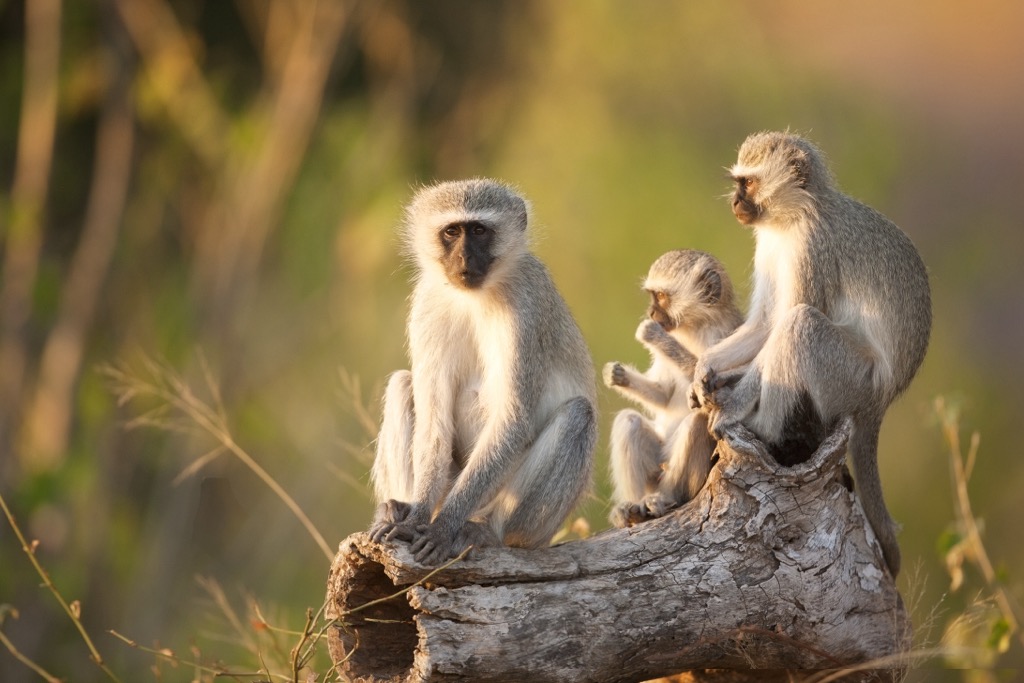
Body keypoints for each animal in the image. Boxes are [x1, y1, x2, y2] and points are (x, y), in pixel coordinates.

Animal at [367, 178, 598, 566]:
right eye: (451, 232)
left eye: (478, 231)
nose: (463, 258)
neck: (473, 297)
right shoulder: (426, 304)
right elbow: (434, 423)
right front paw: (414, 519)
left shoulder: (527, 307)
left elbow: (513, 419)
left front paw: (443, 528)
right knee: (402, 383)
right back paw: (399, 507)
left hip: (523, 515)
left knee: (578, 414)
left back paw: (487, 531)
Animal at [604, 249, 742, 527]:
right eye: (652, 296)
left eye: (661, 296)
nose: (651, 314)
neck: (695, 326)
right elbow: (664, 395)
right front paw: (617, 375)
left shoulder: (725, 335)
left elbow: (711, 388)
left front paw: (652, 334)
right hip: (656, 468)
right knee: (628, 421)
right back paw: (632, 507)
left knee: (696, 423)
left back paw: (665, 498)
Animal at [690, 131, 932, 576]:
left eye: (748, 183)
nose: (735, 201)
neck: (791, 218)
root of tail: (883, 400)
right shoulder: (769, 245)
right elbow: (766, 322)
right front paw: (706, 368)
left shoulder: (811, 248)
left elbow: (783, 323)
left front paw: (733, 406)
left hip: (851, 380)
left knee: (799, 325)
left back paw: (763, 429)